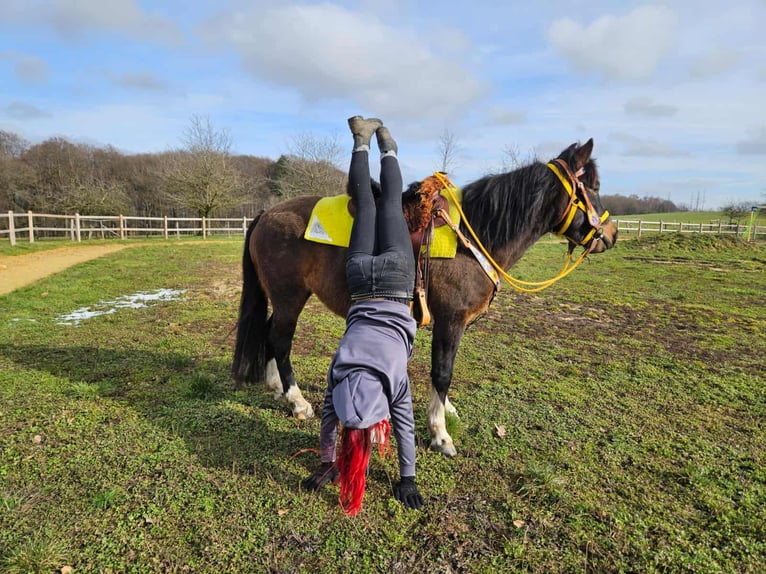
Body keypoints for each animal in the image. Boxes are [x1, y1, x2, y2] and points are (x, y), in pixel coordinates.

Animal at [232, 138, 618, 456]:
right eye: (594, 187)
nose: (611, 234)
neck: (473, 237)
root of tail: (266, 214)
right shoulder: (450, 321)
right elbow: (442, 371)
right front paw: (440, 433)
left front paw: (445, 410)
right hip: (290, 297)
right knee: (281, 340)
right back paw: (296, 401)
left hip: (283, 298)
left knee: (270, 333)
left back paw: (276, 386)